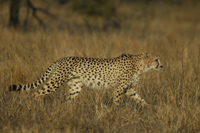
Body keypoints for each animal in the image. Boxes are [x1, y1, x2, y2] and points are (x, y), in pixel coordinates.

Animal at [8, 53, 163, 106]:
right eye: (156, 59)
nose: (162, 65)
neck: (141, 65)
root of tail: (60, 59)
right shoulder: (120, 88)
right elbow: (117, 101)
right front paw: (116, 112)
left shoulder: (129, 89)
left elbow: (140, 99)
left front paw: (149, 109)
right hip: (56, 82)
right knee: (36, 93)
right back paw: (35, 106)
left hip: (76, 86)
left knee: (66, 100)